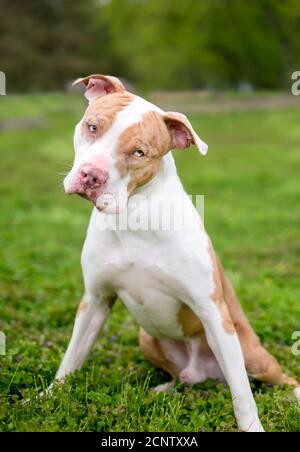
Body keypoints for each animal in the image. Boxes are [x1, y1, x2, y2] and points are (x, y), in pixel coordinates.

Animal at [53, 74, 298, 430]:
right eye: (93, 127)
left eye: (139, 152)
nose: (91, 175)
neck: (134, 217)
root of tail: (207, 374)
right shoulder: (95, 302)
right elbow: (69, 362)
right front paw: (44, 399)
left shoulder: (213, 312)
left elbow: (243, 396)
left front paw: (252, 427)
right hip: (147, 338)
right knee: (184, 377)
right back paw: (166, 387)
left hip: (249, 351)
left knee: (274, 378)